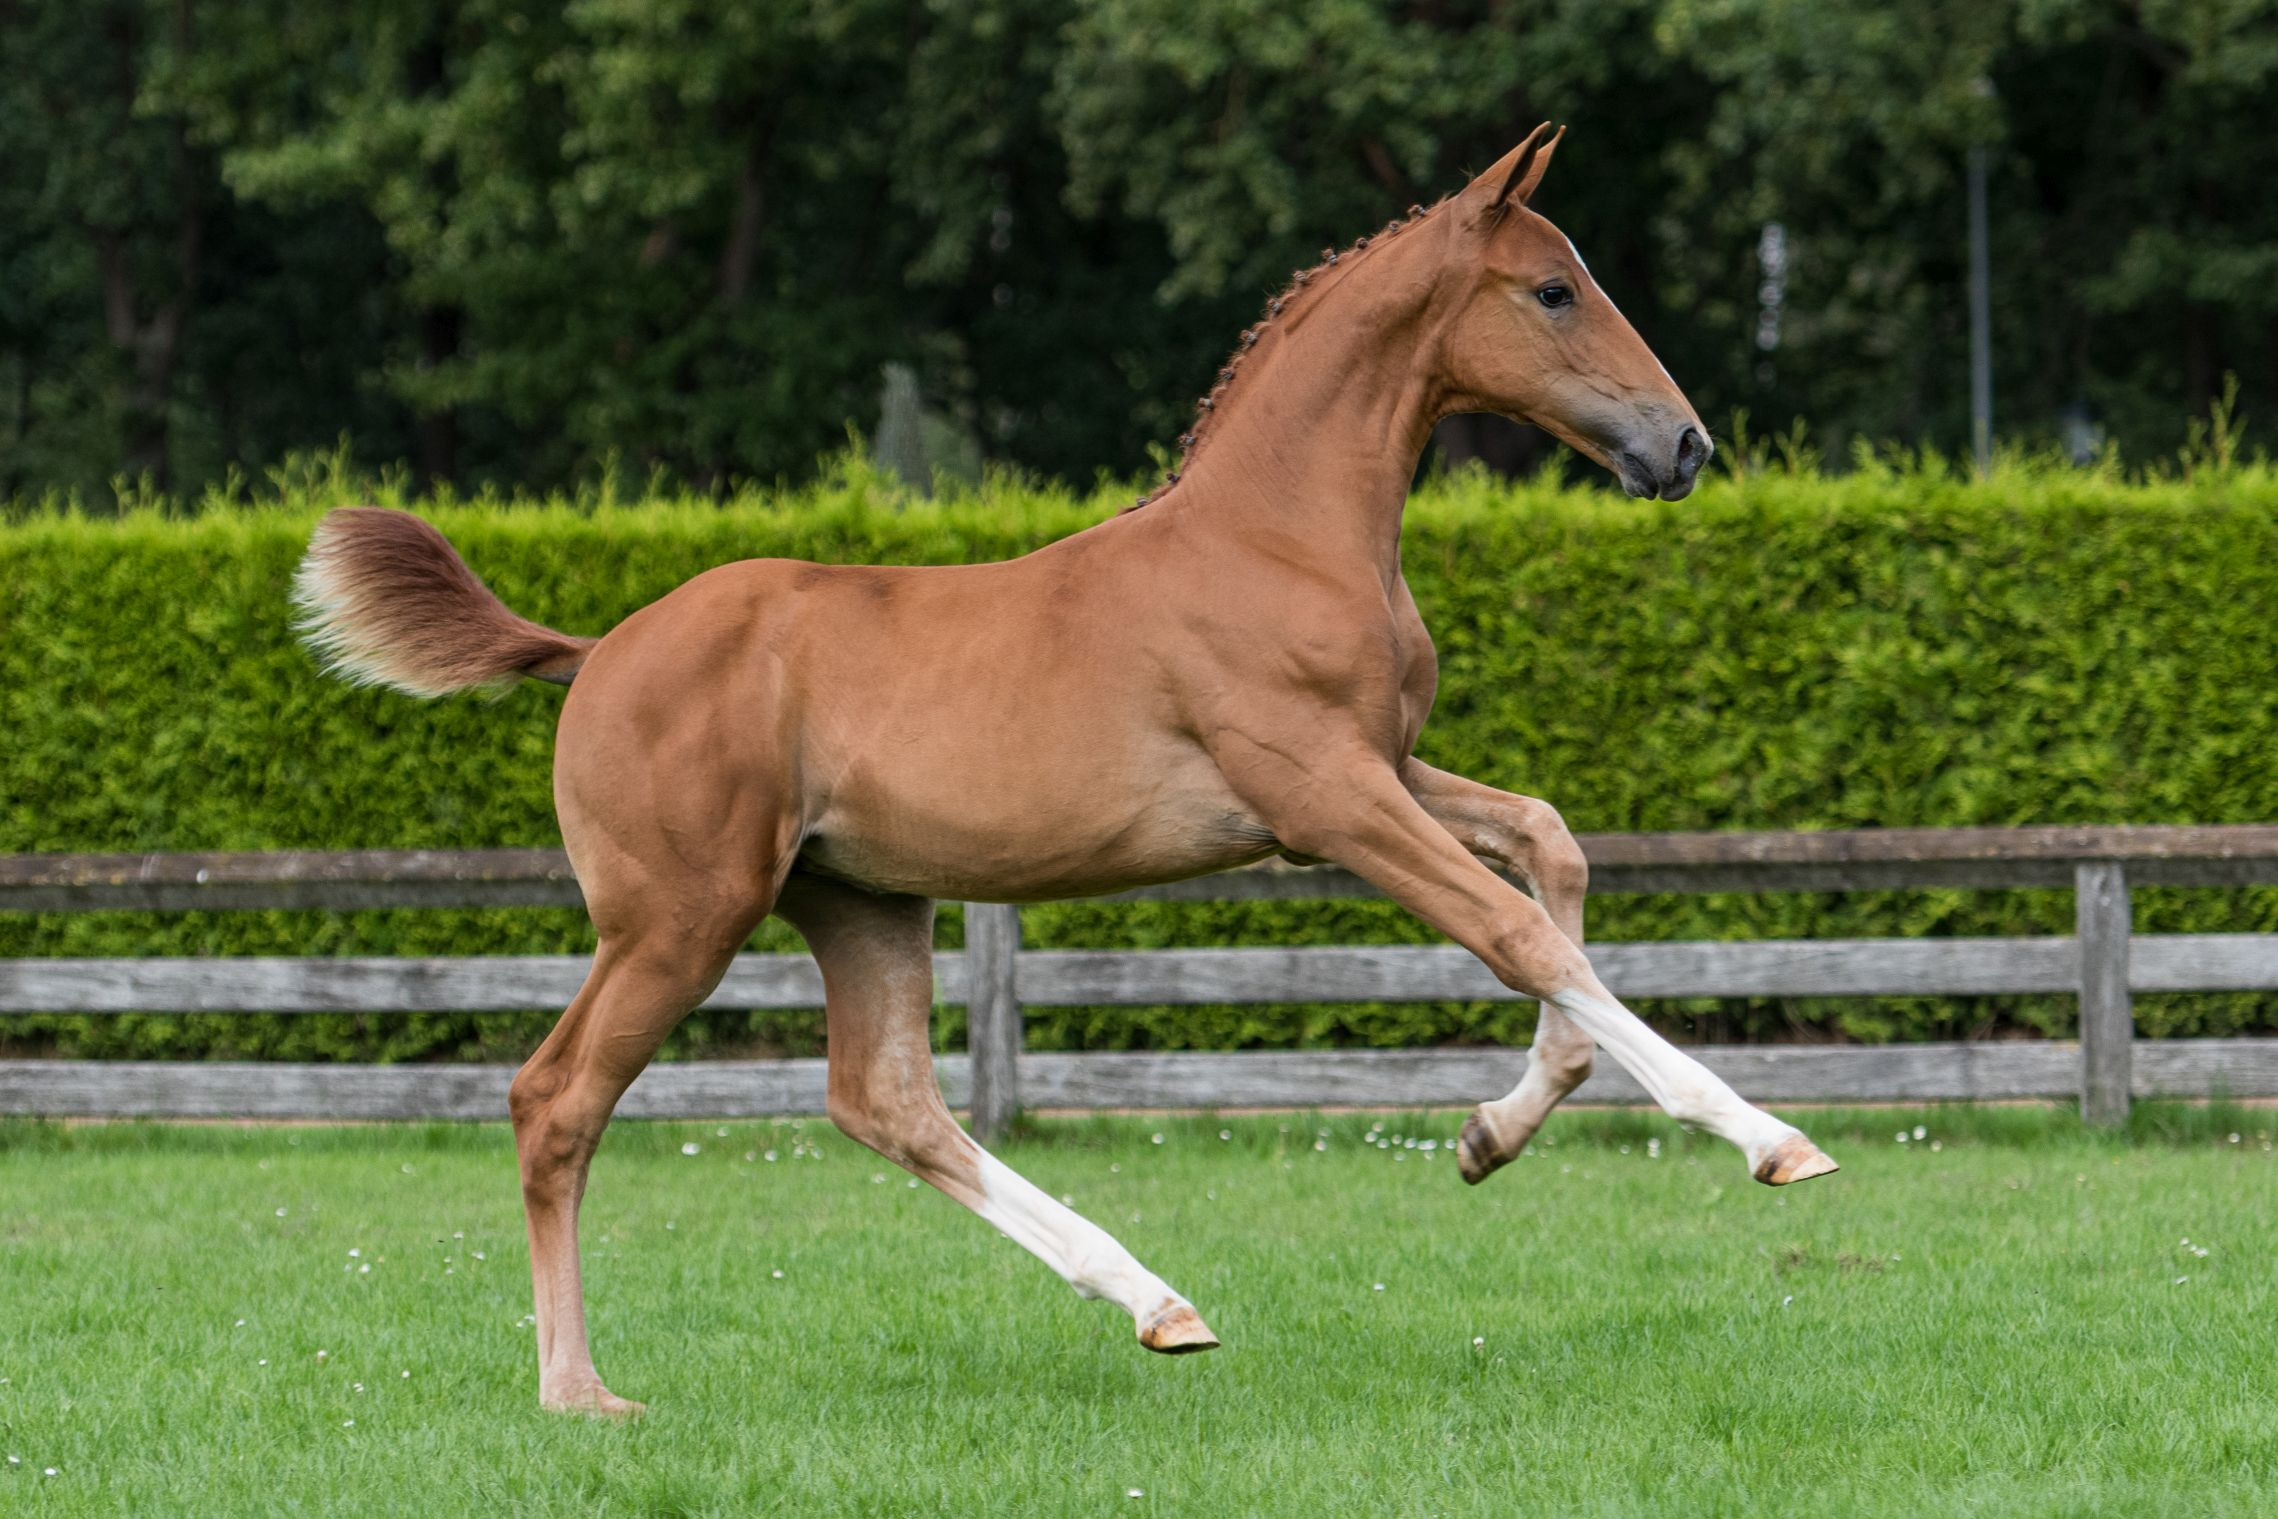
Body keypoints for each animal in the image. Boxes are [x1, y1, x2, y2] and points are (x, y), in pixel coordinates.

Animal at [295, 124, 1836, 1416]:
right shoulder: (1322, 793)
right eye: (1554, 290)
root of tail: (596, 648)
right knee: (555, 1100)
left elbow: (1550, 844)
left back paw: (1157, 1302)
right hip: (680, 915)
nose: (1684, 441)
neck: (1278, 532)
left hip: (858, 900)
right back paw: (578, 1389)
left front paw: (1488, 1134)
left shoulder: (1380, 770)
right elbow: (1515, 928)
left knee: (887, 1102)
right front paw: (1768, 1139)